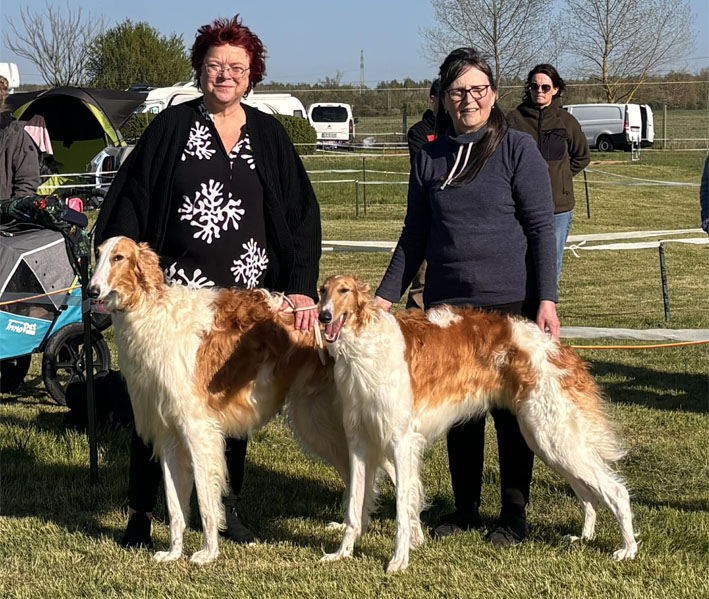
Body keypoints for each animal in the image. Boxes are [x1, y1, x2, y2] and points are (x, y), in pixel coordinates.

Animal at [318, 274, 637, 573]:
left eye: (344, 290)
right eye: (323, 291)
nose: (323, 317)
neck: (366, 345)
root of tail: (561, 350)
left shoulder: (401, 441)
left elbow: (401, 511)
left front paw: (399, 560)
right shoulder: (359, 442)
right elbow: (354, 508)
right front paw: (341, 553)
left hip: (551, 434)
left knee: (616, 491)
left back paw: (628, 549)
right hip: (548, 440)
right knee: (587, 492)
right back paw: (585, 536)